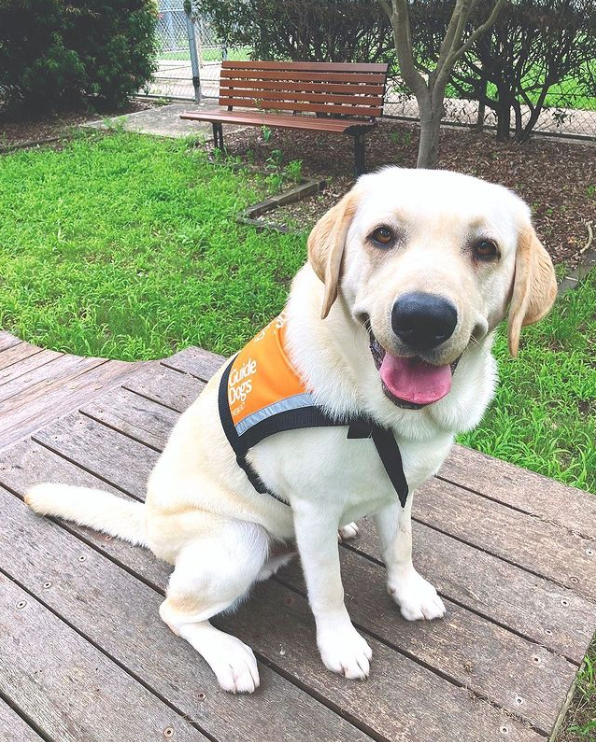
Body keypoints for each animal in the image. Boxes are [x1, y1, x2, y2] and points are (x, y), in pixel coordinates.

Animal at [25, 167, 556, 696]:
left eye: (486, 248)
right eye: (383, 236)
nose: (423, 318)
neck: (381, 415)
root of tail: (149, 522)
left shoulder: (398, 489)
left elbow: (400, 546)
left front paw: (408, 592)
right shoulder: (315, 509)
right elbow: (329, 588)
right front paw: (340, 645)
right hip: (237, 542)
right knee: (173, 611)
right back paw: (229, 655)